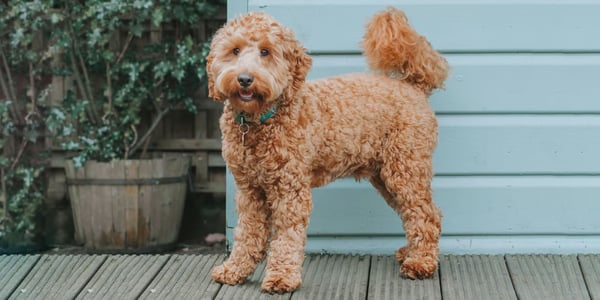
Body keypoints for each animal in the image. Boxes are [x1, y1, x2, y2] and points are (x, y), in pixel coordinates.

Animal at [206, 7, 446, 292]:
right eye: (234, 50)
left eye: (266, 51)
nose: (244, 79)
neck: (260, 121)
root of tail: (413, 85)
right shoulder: (249, 191)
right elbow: (247, 234)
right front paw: (235, 270)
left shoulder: (290, 190)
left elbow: (287, 236)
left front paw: (282, 276)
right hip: (387, 176)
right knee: (414, 213)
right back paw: (410, 252)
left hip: (406, 170)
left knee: (426, 215)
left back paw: (420, 262)